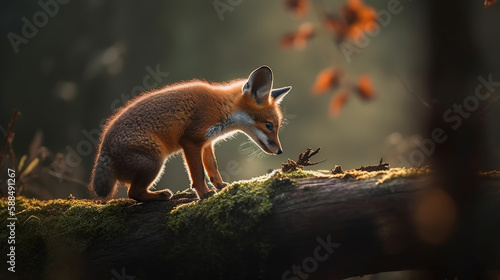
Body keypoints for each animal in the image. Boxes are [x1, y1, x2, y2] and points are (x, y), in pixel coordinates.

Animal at [90, 65, 292, 201]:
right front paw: (204, 194)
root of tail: (103, 149)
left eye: (276, 126)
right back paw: (160, 195)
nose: (280, 151)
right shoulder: (190, 141)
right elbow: (198, 174)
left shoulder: (207, 143)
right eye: (269, 125)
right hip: (155, 162)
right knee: (133, 194)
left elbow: (212, 169)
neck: (222, 108)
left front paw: (221, 186)